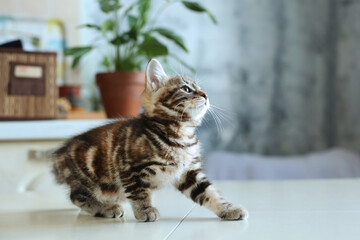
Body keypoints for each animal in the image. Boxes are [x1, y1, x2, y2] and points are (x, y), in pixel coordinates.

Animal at [52, 59, 248, 221]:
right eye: (186, 89)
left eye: (199, 88)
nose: (206, 95)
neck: (181, 135)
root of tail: (59, 154)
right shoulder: (127, 167)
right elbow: (138, 192)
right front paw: (145, 210)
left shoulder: (189, 172)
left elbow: (209, 192)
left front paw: (228, 209)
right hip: (91, 177)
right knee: (77, 196)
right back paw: (105, 208)